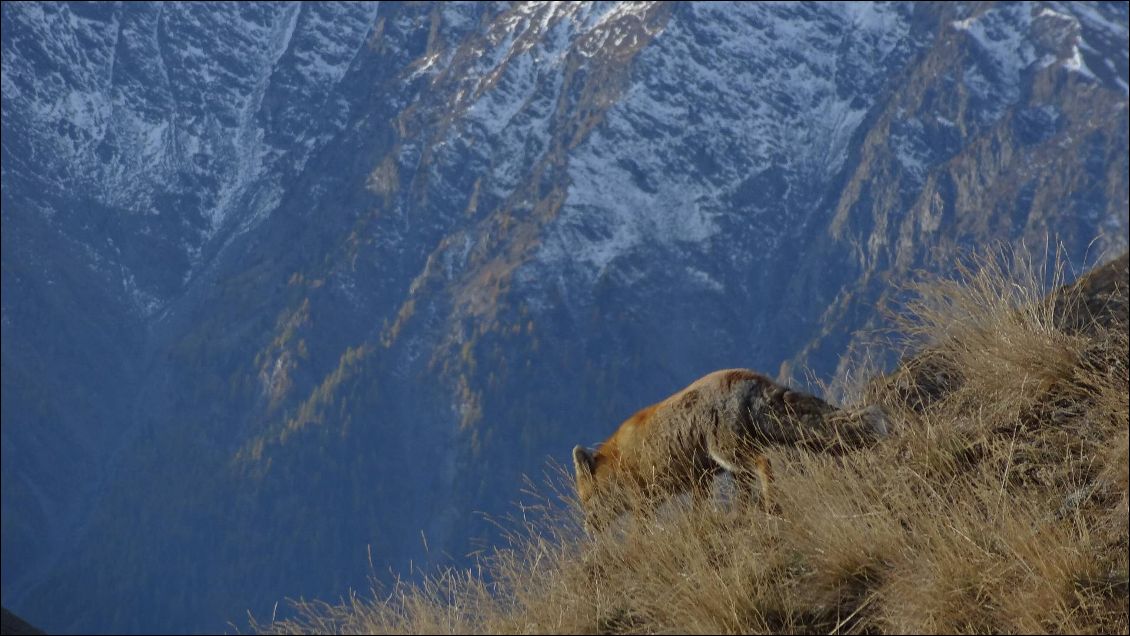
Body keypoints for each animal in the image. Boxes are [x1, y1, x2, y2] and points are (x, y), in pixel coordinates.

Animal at [578, 368, 885, 528]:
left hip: (730, 453)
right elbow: (698, 512)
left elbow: (638, 534)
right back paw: (745, 513)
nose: (590, 528)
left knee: (765, 464)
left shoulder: (643, 502)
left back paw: (771, 505)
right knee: (747, 491)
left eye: (585, 500)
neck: (618, 462)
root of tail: (750, 377)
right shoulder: (699, 480)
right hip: (734, 465)